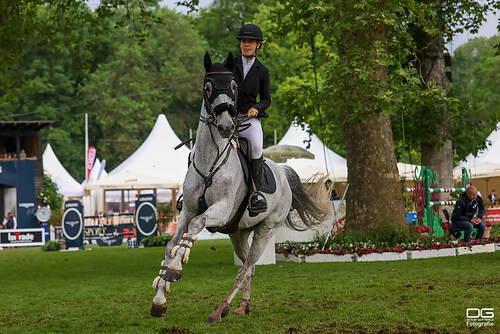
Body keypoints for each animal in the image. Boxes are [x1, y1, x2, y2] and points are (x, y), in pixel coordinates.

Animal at [150, 52, 334, 324]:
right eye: (207, 87)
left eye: (234, 86)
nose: (227, 126)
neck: (210, 160)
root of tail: (282, 171)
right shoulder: (188, 210)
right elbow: (171, 243)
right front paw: (160, 298)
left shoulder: (220, 210)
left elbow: (194, 227)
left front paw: (174, 270)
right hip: (239, 232)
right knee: (250, 267)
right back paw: (242, 306)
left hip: (266, 229)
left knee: (246, 268)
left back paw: (220, 309)